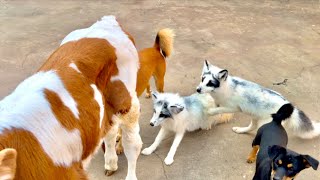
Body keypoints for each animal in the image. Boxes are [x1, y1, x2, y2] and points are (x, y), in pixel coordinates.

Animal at [0, 16, 141, 179]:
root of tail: (106, 21)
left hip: (127, 103)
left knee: (132, 145)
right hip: (106, 108)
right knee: (109, 131)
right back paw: (110, 163)